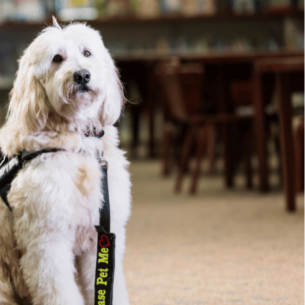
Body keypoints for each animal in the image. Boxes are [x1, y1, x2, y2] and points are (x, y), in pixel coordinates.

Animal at [0, 17, 129, 302]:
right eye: (57, 58)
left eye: (87, 53)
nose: (82, 75)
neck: (75, 140)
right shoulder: (48, 242)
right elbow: (59, 291)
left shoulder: (98, 238)